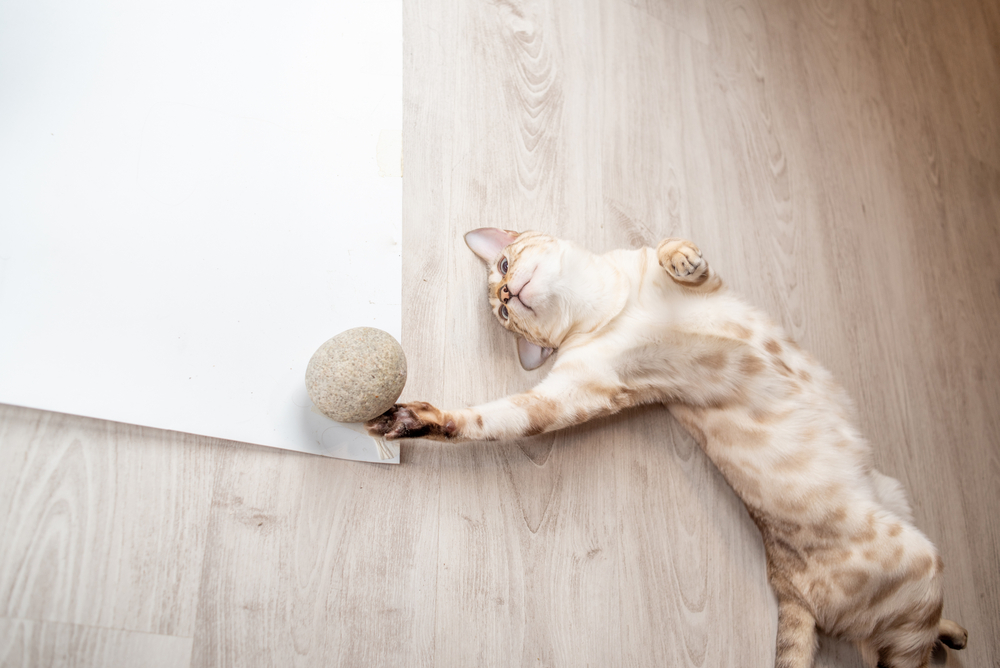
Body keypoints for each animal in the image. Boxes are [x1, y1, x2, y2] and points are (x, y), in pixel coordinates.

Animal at [368, 230, 968, 668]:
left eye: (504, 266)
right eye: (502, 312)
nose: (507, 294)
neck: (614, 306)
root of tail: (781, 581)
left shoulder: (697, 282)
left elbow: (668, 247)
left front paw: (680, 257)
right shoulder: (569, 394)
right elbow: (480, 419)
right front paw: (412, 420)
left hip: (900, 506)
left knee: (896, 640)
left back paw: (955, 634)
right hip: (919, 564)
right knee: (894, 652)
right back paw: (950, 639)